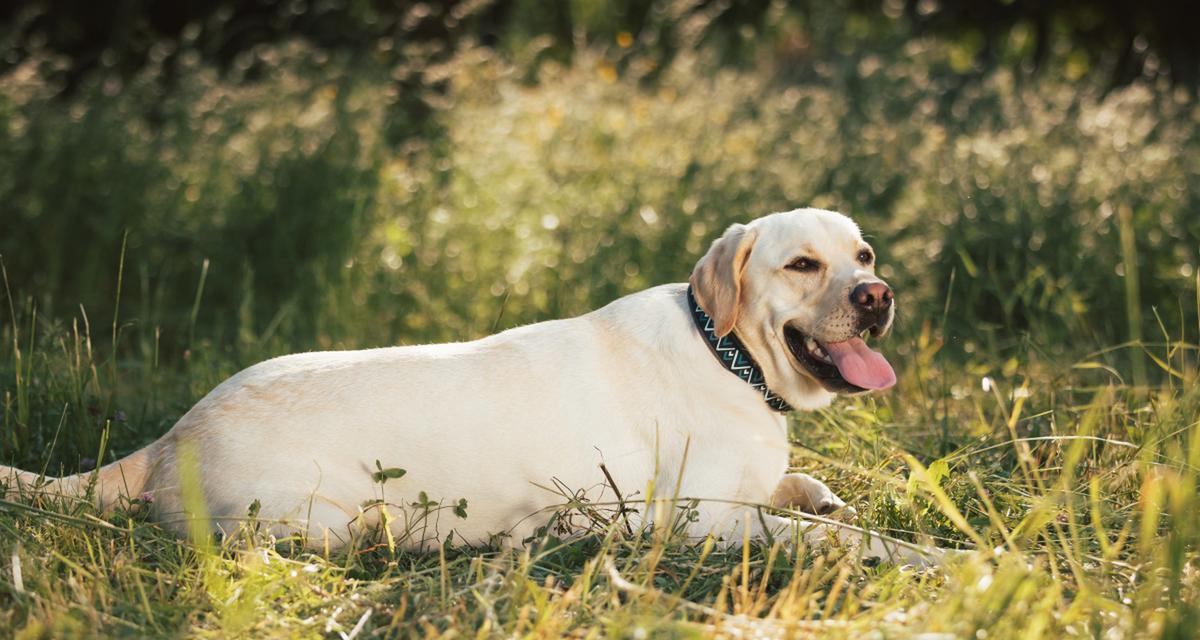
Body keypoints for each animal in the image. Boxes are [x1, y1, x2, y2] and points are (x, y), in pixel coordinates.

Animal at [2, 208, 955, 564]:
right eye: (802, 265)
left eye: (862, 254)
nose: (877, 295)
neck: (733, 354)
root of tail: (172, 436)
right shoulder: (702, 524)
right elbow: (847, 536)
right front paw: (937, 556)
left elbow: (804, 492)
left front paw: (818, 489)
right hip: (324, 520)